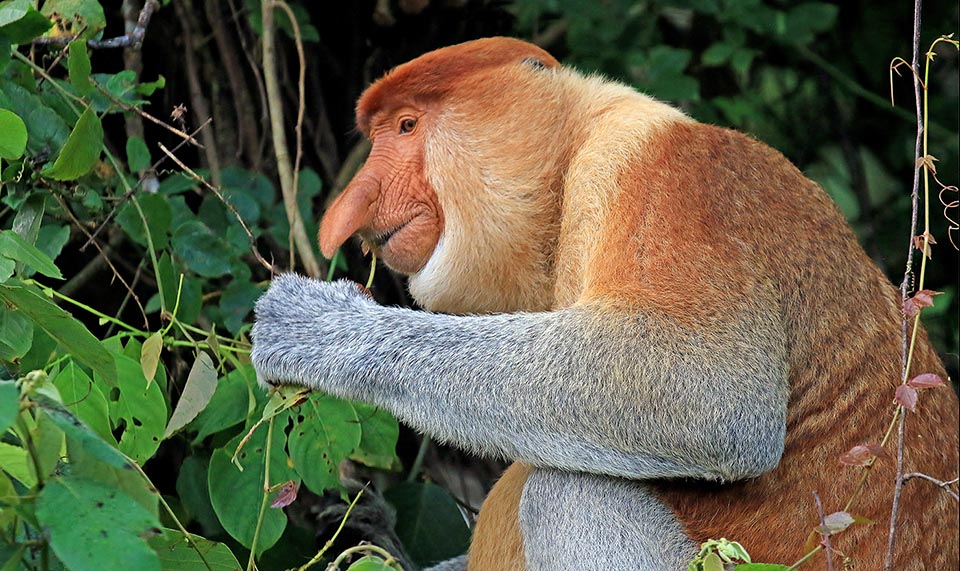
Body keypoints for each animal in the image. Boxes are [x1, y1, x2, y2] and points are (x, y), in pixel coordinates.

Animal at [253, 38, 960, 568]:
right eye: (382, 133)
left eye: (406, 126)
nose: (353, 205)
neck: (566, 169)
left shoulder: (657, 174)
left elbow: (711, 393)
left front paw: (312, 326)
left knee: (569, 493)